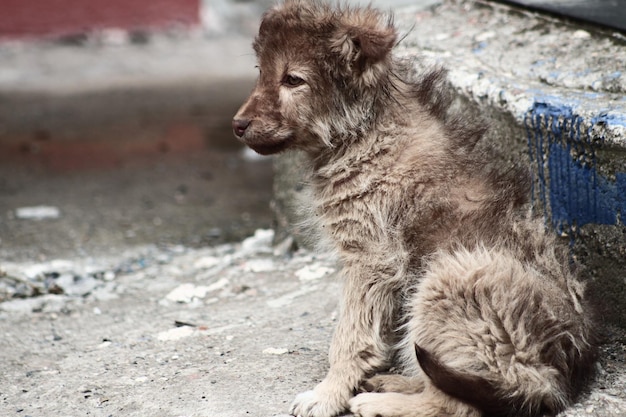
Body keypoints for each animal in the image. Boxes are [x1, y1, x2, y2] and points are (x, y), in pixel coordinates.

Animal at [232, 1, 592, 414]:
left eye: (293, 80)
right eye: (261, 72)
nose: (237, 125)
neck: (365, 132)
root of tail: (549, 381)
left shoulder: (370, 258)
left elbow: (349, 338)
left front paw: (328, 394)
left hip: (451, 278)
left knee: (451, 403)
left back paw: (381, 402)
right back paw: (393, 382)